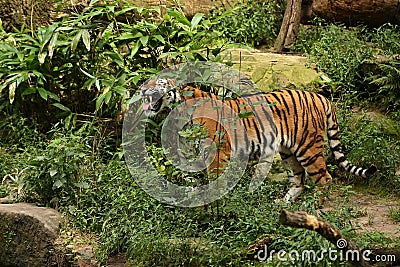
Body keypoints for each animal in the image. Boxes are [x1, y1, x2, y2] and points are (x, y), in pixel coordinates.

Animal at [139, 78, 376, 204]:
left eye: (156, 82)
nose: (141, 89)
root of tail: (320, 96)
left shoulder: (218, 152)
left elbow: (215, 181)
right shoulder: (190, 154)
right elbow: (191, 182)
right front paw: (191, 202)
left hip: (308, 147)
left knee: (324, 178)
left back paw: (313, 208)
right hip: (289, 152)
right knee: (298, 179)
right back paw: (283, 204)